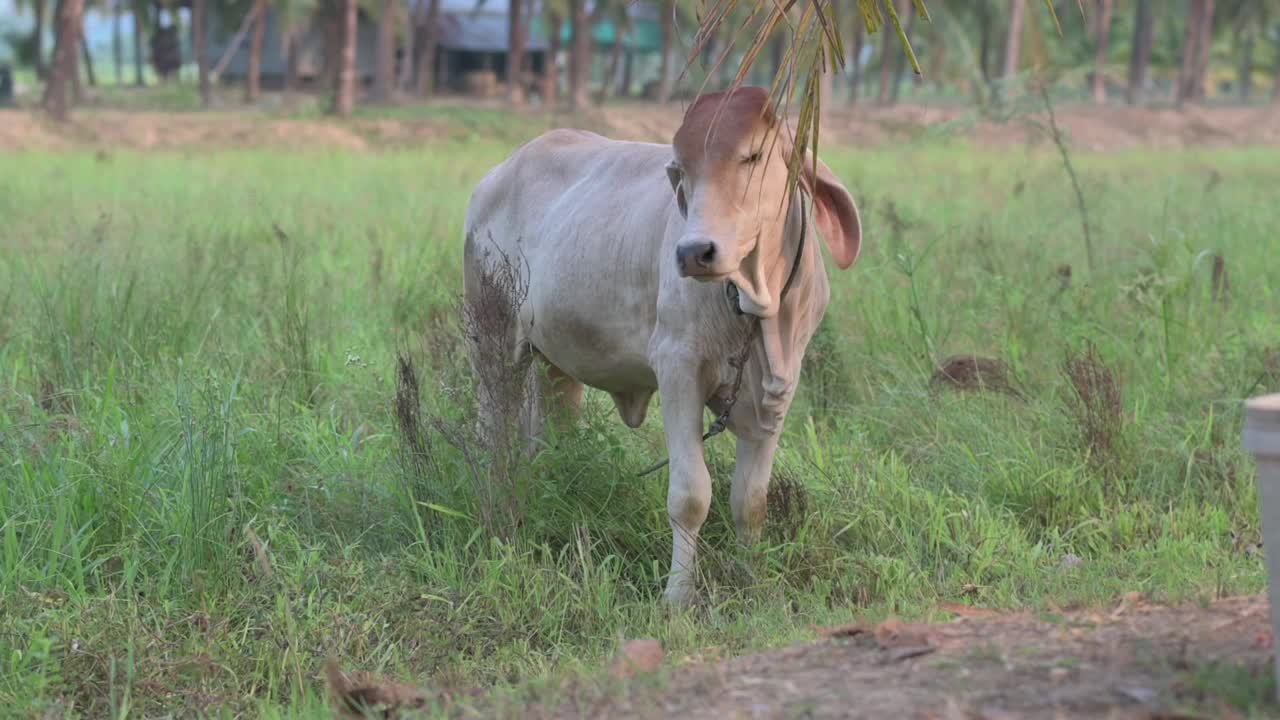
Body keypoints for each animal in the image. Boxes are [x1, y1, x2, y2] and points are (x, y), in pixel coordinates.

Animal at [465, 88, 865, 604]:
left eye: (753, 156)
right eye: (680, 170)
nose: (694, 252)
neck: (758, 304)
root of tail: (497, 176)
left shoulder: (779, 387)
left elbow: (751, 500)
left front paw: (750, 577)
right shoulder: (678, 369)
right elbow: (691, 495)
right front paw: (677, 596)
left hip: (555, 364)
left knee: (547, 438)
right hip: (492, 341)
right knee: (492, 438)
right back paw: (496, 518)